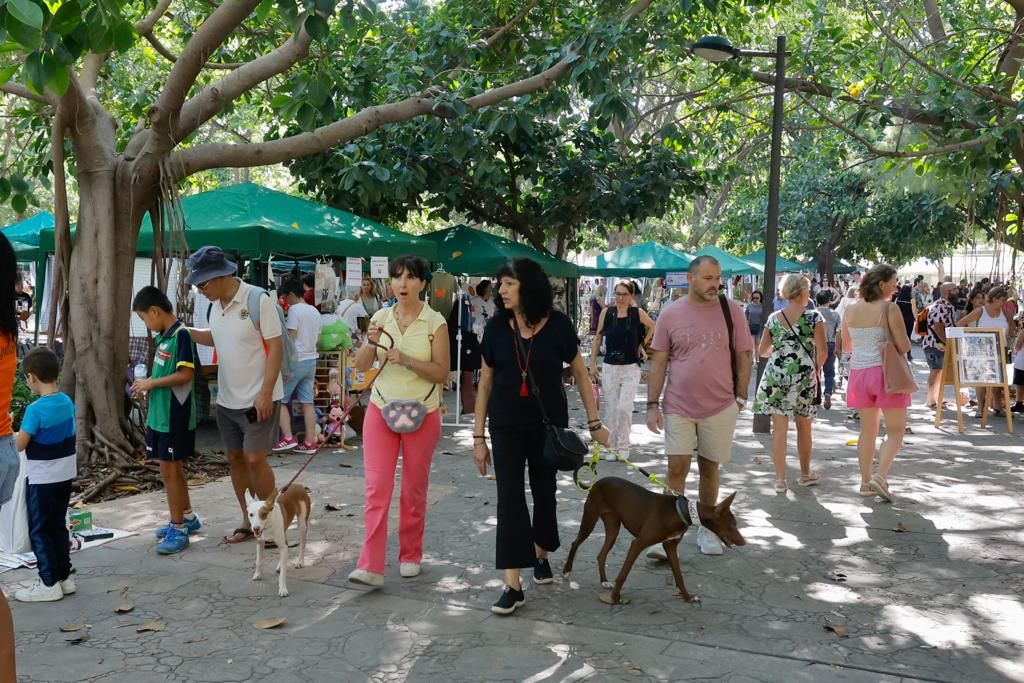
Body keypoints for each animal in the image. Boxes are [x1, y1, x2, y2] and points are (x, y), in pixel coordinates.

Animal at [561, 475, 745, 602]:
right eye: (731, 526)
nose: (744, 542)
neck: (682, 511)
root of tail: (597, 482)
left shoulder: (670, 546)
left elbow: (679, 575)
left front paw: (687, 597)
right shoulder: (638, 543)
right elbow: (623, 574)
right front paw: (615, 598)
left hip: (612, 529)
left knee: (601, 555)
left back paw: (604, 581)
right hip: (589, 522)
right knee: (575, 543)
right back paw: (566, 571)